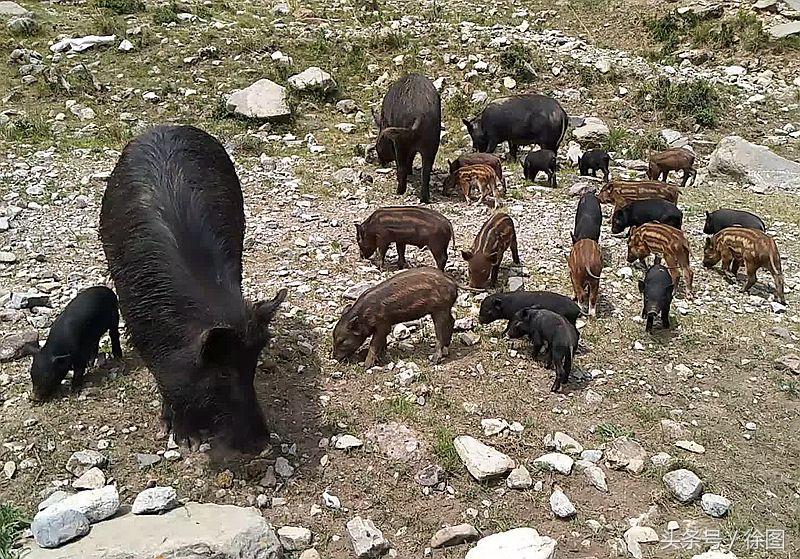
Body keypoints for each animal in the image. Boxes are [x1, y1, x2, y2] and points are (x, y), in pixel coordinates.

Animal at [372, 74, 440, 203]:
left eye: (377, 144)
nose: (380, 162)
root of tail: (419, 115)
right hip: (432, 144)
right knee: (426, 171)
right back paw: (424, 199)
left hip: (401, 141)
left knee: (402, 167)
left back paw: (399, 192)